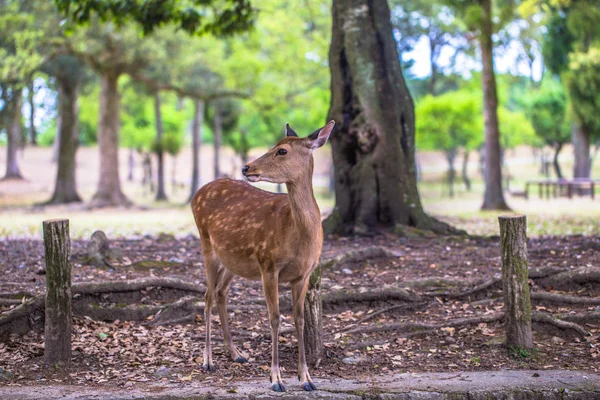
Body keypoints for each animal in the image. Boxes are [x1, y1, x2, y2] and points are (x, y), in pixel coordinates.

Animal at [191, 120, 336, 392]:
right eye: (274, 145)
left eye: (282, 150)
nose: (246, 167)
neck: (297, 237)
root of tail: (196, 194)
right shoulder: (268, 264)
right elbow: (275, 318)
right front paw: (276, 379)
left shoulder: (304, 274)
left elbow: (299, 319)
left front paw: (306, 378)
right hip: (207, 245)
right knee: (206, 296)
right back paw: (207, 361)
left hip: (233, 260)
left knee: (220, 292)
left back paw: (235, 353)